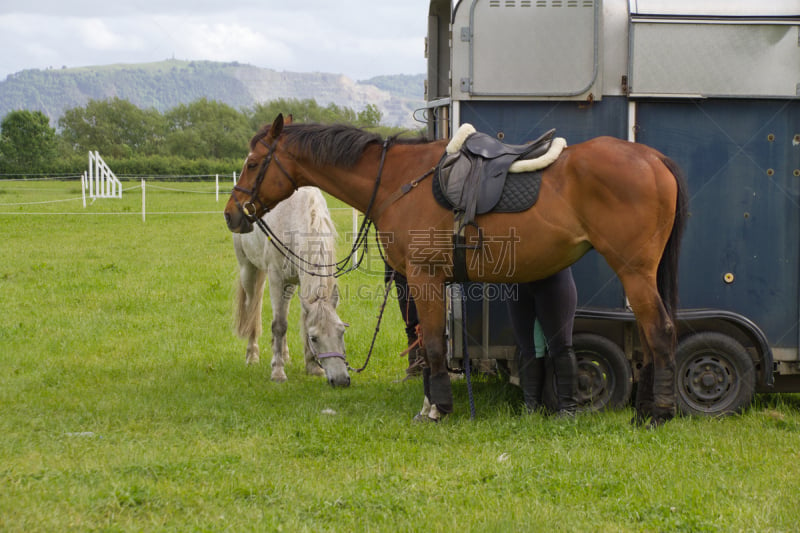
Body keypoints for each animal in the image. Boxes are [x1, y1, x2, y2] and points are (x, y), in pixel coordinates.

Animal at [231, 187, 350, 386]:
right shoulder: (276, 279)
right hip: (248, 270)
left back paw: (285, 356)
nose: (341, 380)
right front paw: (278, 372)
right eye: (314, 338)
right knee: (253, 308)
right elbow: (279, 325)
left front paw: (312, 367)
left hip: (289, 286)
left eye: (341, 332)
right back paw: (252, 355)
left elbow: (300, 320)